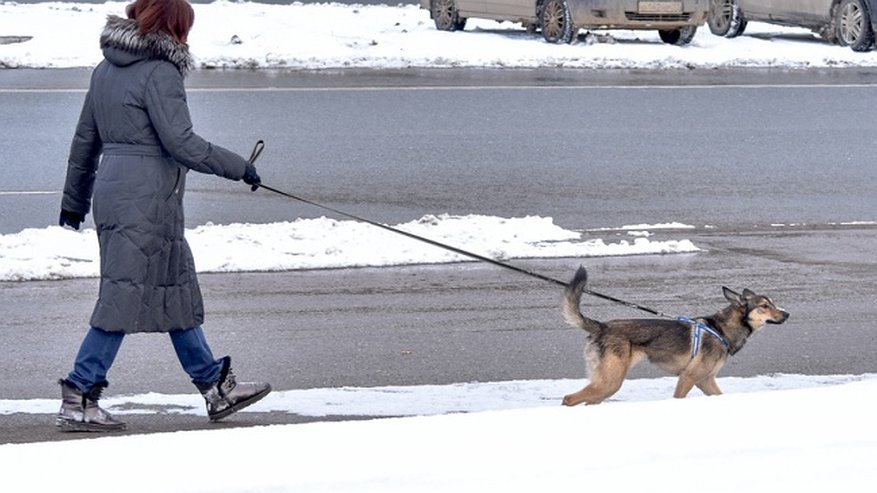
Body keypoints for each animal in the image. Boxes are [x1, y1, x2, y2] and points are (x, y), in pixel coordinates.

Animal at [564, 266, 792, 404]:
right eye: (764, 306)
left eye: (773, 302)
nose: (787, 314)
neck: (720, 329)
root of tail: (602, 326)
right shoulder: (688, 378)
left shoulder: (706, 381)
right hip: (610, 381)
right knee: (569, 399)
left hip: (606, 385)